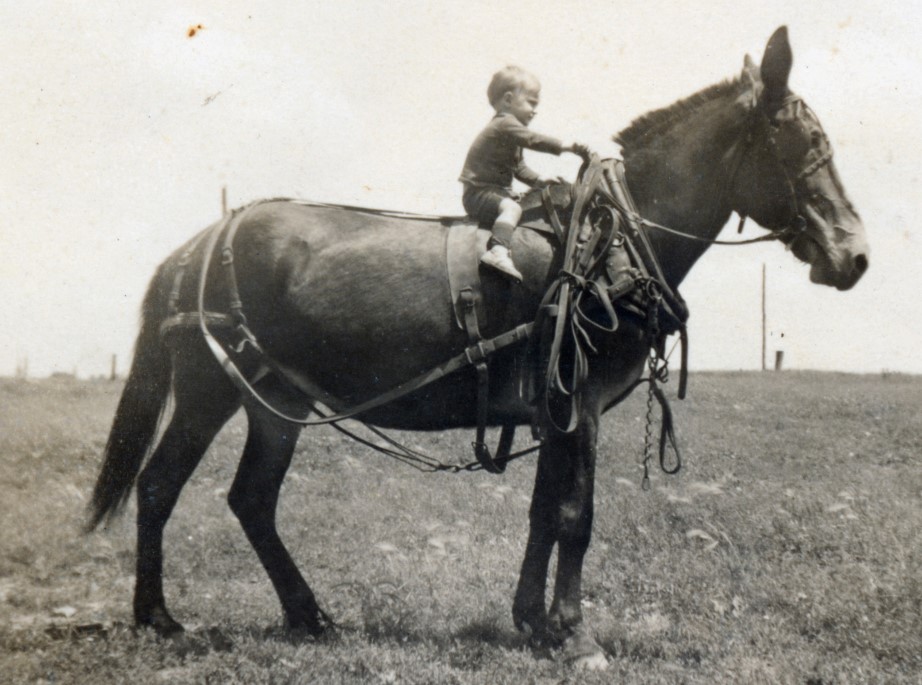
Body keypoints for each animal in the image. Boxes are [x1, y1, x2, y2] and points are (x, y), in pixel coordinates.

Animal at [88, 27, 868, 668]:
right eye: (803, 143)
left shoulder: (555, 409)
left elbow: (544, 514)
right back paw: (158, 616)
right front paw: (575, 635)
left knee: (250, 500)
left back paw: (307, 615)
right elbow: (575, 517)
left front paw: (534, 622)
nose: (854, 255)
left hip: (274, 402)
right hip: (210, 390)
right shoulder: (579, 405)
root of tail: (201, 242)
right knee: (159, 486)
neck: (607, 245)